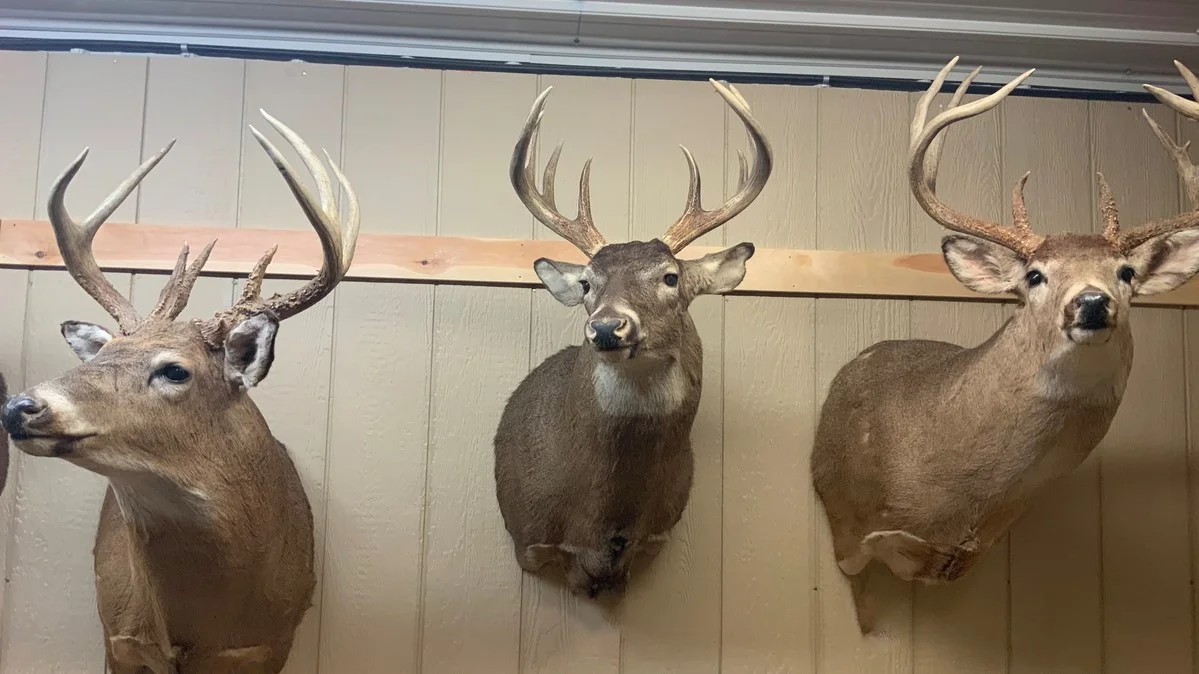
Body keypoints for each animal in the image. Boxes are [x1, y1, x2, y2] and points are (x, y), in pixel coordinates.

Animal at [0, 109, 359, 673]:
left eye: (174, 371)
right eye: (101, 354)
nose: (20, 406)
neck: (191, 627)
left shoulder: (268, 646)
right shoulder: (119, 641)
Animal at [493, 79, 773, 599]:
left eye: (670, 277)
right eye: (587, 284)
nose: (607, 326)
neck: (603, 519)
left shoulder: (657, 535)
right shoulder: (531, 537)